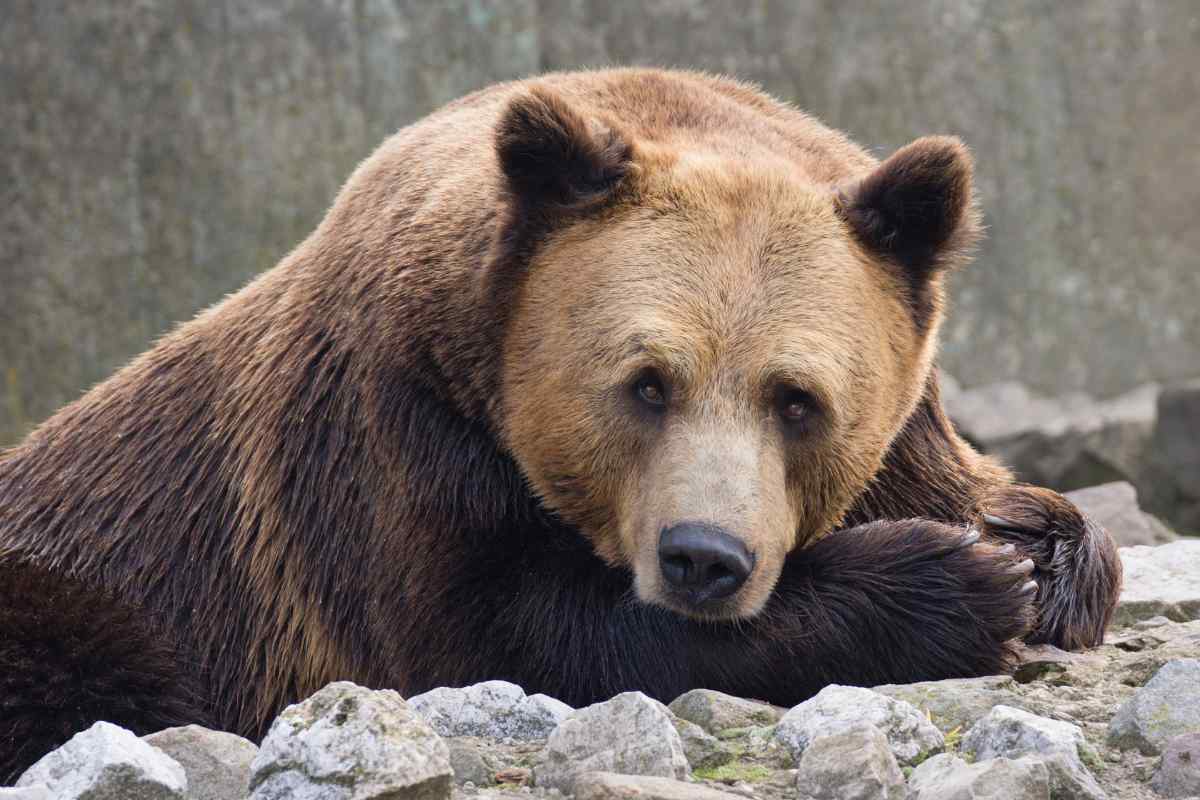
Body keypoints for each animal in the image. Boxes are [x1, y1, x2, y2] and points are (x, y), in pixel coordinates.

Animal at [0, 68, 1121, 783]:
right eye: (647, 383)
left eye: (797, 398)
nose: (703, 558)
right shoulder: (393, 441)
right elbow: (510, 635)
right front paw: (952, 581)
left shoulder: (907, 429)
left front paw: (1033, 552)